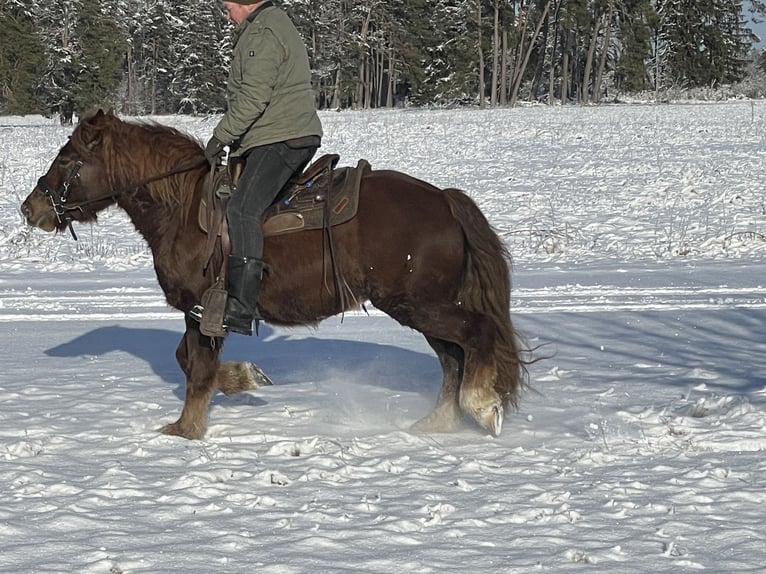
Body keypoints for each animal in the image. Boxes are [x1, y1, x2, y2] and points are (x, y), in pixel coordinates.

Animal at [21, 110, 532, 440]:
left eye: (66, 158)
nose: (30, 208)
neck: (182, 208)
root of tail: (444, 200)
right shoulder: (199, 313)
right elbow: (187, 360)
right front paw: (245, 378)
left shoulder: (204, 308)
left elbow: (197, 369)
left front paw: (186, 429)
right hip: (423, 307)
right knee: (453, 356)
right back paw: (438, 422)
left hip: (421, 305)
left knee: (474, 336)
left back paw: (482, 405)